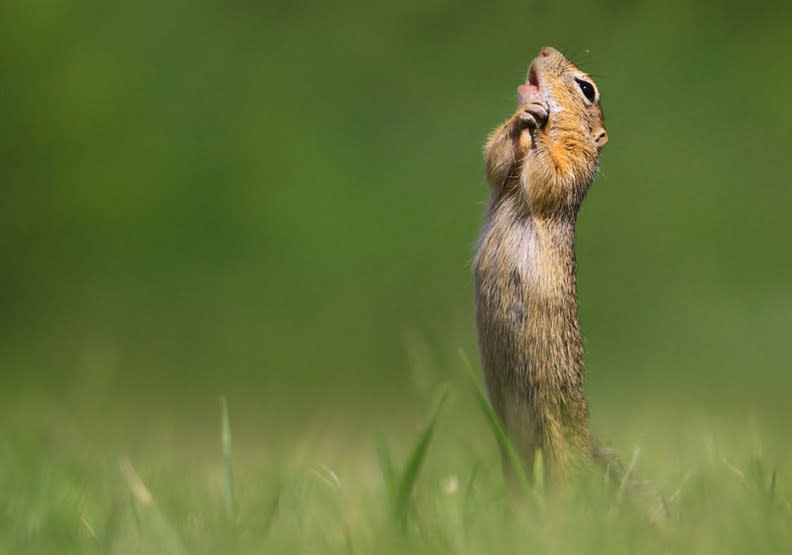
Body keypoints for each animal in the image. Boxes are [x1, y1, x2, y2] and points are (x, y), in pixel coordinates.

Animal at [474, 46, 608, 482]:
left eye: (587, 89)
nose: (545, 49)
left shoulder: (573, 165)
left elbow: (550, 174)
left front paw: (537, 122)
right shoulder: (502, 176)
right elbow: (496, 162)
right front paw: (523, 117)